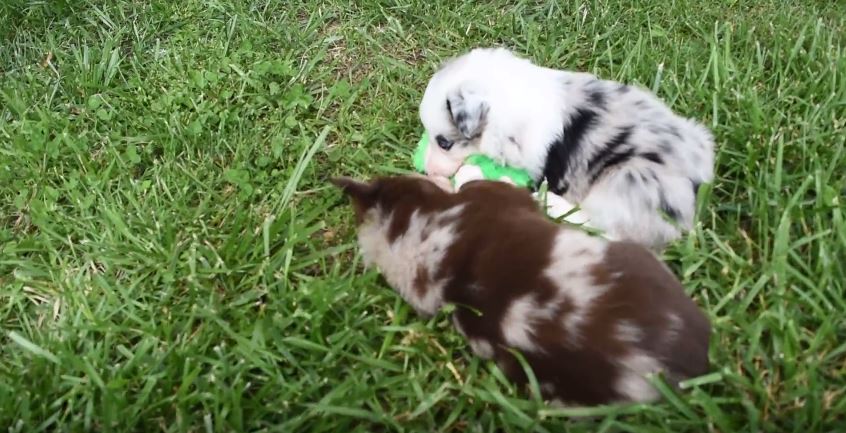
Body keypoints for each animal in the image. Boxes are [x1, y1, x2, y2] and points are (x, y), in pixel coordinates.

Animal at [418, 46, 716, 250]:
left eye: (444, 143)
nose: (428, 171)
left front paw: (470, 175)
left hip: (627, 181)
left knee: (609, 230)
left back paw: (551, 202)